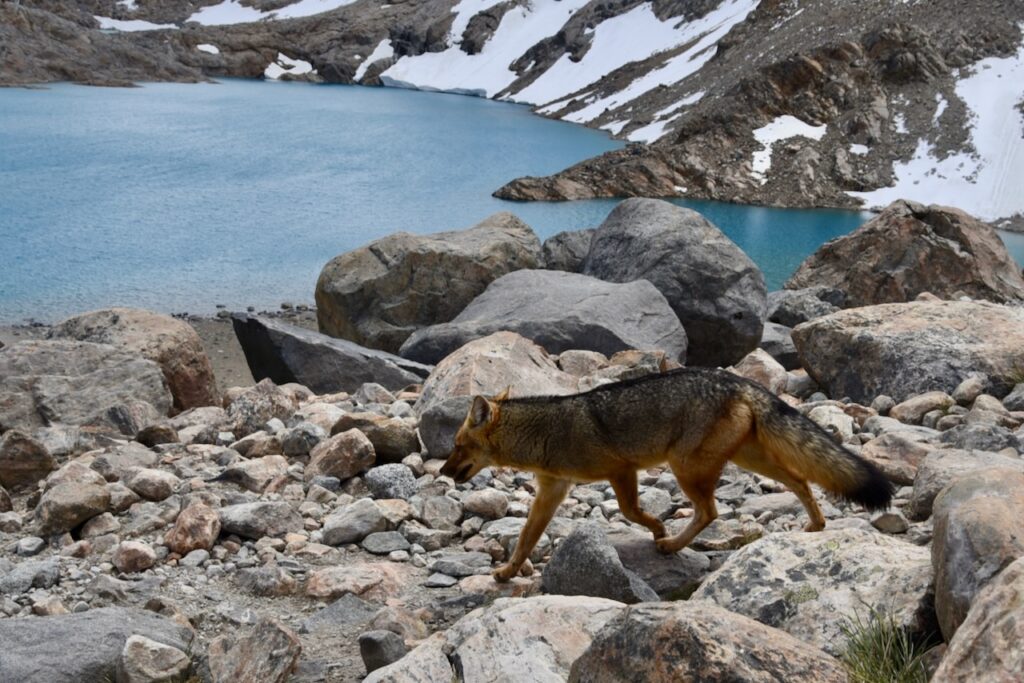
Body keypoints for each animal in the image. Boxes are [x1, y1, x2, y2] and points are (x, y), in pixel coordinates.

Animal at [439, 367, 894, 582]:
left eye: (457, 446)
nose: (442, 472)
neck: (548, 431)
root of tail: (738, 381)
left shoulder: (621, 470)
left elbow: (631, 511)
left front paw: (657, 528)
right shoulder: (552, 490)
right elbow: (525, 539)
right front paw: (507, 572)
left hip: (685, 468)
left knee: (711, 512)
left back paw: (672, 544)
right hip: (748, 460)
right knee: (800, 479)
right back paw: (816, 525)